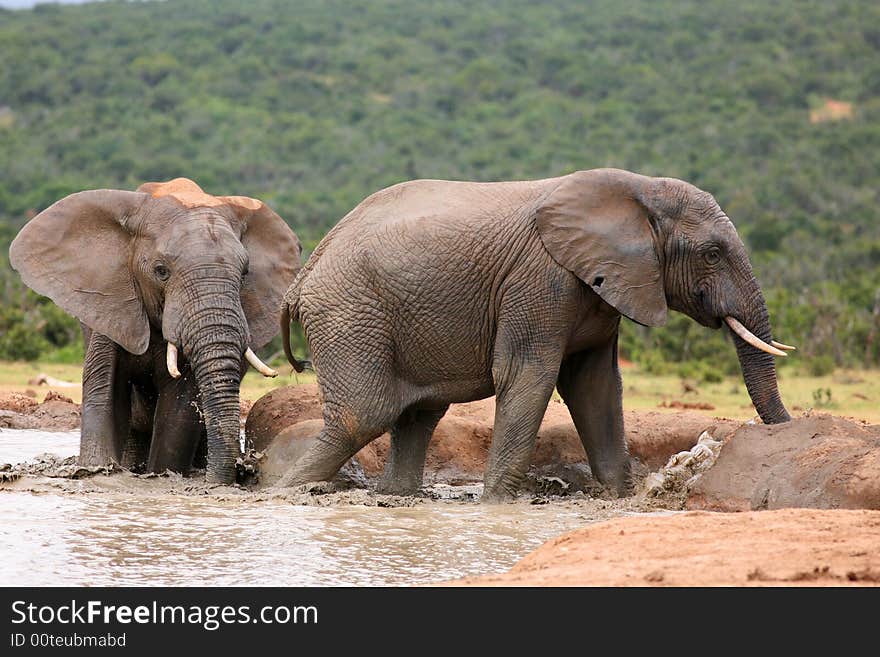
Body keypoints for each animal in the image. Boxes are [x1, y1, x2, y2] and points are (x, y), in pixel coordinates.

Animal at [7, 178, 306, 482]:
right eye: (161, 271)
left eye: (245, 273)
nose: (239, 471)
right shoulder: (112, 302)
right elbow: (105, 390)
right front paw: (98, 470)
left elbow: (179, 406)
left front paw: (161, 475)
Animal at [278, 167, 796, 500]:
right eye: (712, 253)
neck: (638, 191)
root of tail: (301, 281)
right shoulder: (540, 280)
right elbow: (527, 375)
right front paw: (499, 505)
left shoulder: (600, 285)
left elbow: (595, 386)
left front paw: (620, 497)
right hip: (349, 313)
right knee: (365, 414)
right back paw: (281, 492)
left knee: (417, 414)